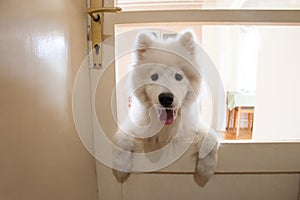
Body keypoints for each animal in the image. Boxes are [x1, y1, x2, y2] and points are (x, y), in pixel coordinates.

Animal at [112, 30, 220, 187]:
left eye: (178, 77)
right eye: (154, 77)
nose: (166, 98)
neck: (165, 129)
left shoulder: (193, 128)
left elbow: (211, 139)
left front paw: (205, 171)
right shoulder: (134, 126)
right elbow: (121, 140)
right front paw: (121, 168)